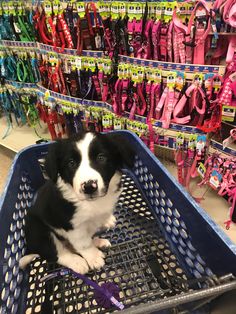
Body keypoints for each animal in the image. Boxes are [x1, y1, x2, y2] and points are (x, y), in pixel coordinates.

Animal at [19, 131, 135, 274]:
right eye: (71, 163)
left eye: (101, 157)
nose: (89, 187)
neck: (93, 203)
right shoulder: (72, 225)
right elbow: (83, 244)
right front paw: (93, 257)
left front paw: (107, 219)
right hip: (39, 230)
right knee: (57, 253)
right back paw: (77, 261)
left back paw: (98, 242)